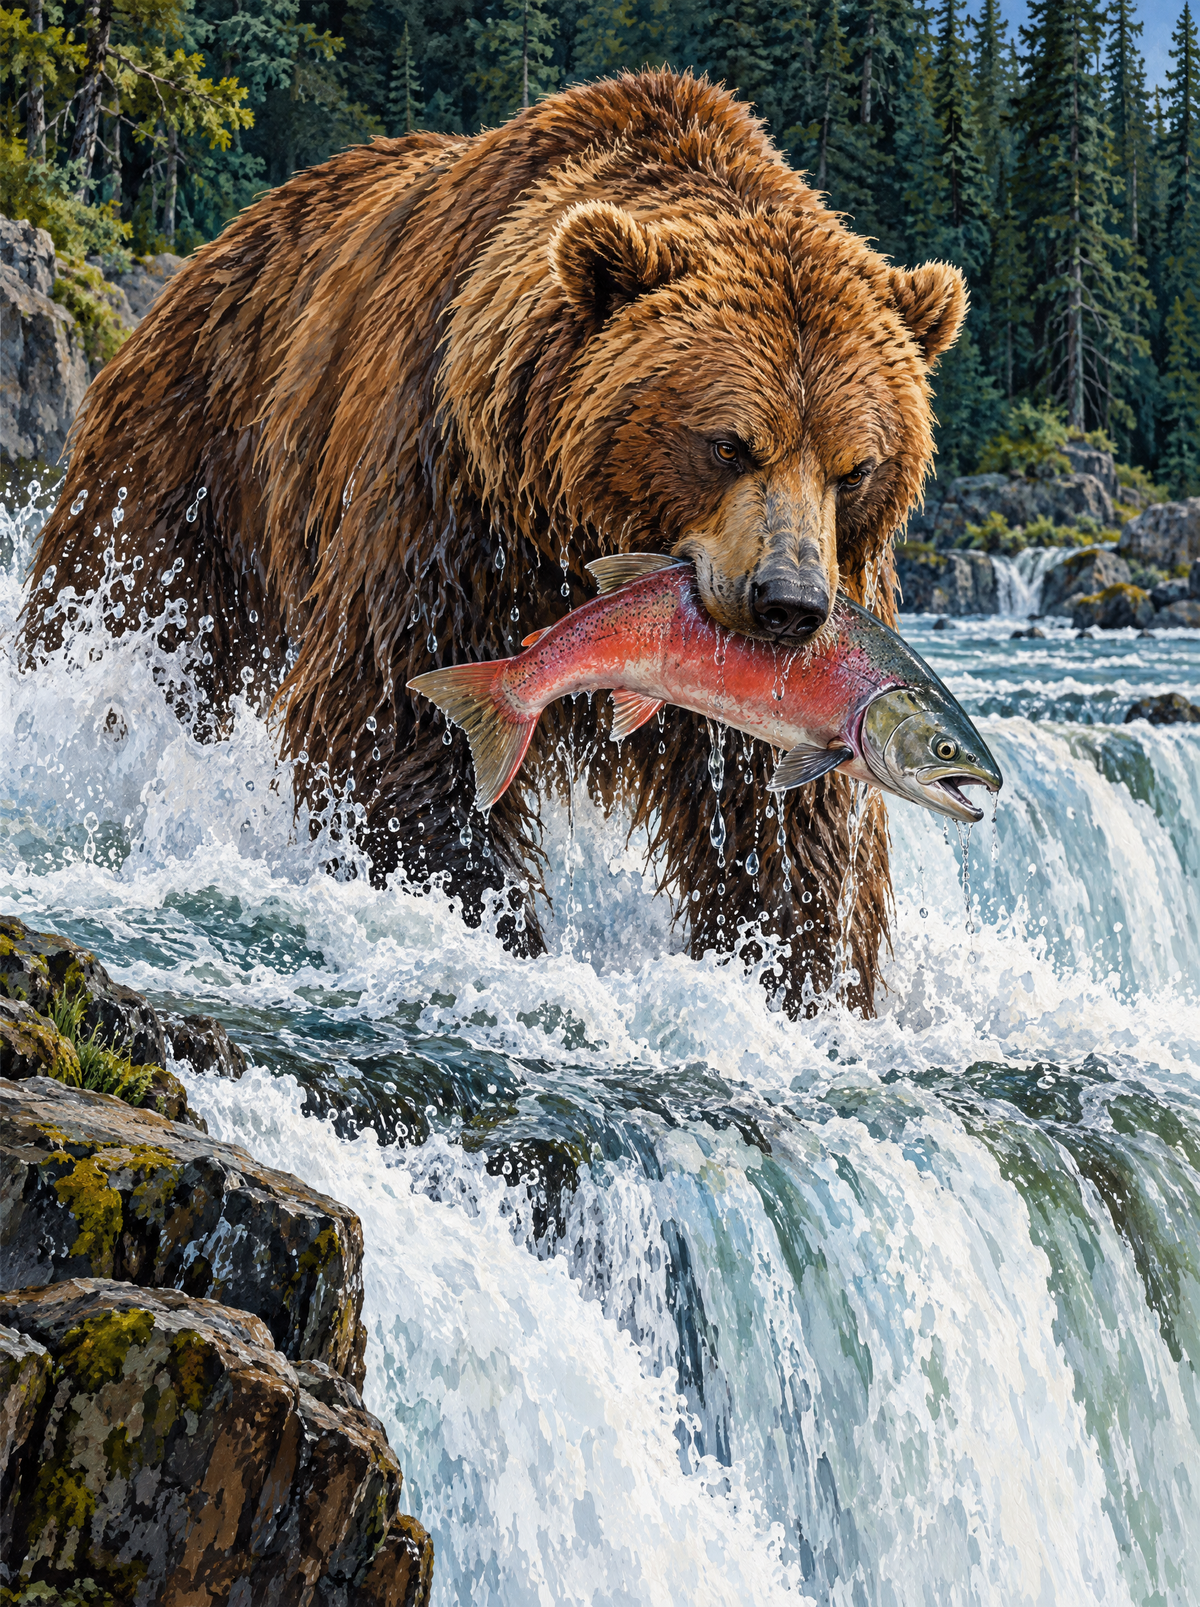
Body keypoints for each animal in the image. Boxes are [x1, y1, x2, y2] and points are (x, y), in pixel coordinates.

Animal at [24, 69, 966, 1014]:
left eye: (856, 467)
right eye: (729, 443)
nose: (788, 604)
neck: (575, 516)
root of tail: (211, 251)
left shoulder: (790, 653)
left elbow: (781, 820)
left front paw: (791, 974)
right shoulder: (452, 503)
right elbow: (397, 715)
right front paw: (481, 917)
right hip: (194, 462)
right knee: (128, 621)